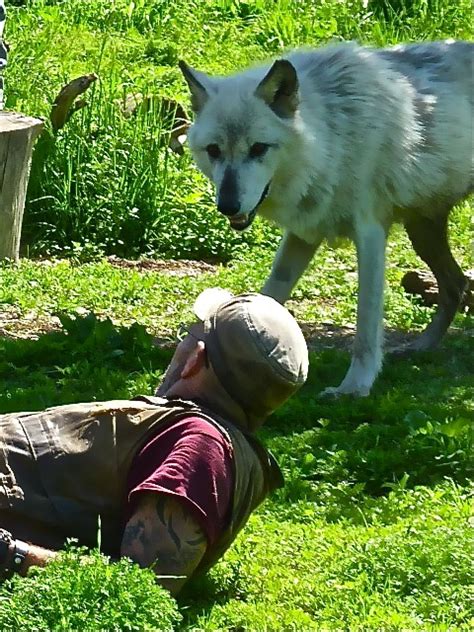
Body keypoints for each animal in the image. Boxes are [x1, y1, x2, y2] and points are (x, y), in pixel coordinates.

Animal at [180, 39, 472, 396]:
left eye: (259, 148)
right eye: (214, 150)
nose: (228, 205)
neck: (333, 137)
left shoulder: (370, 234)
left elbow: (366, 324)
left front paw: (354, 387)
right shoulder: (303, 234)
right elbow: (270, 293)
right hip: (423, 235)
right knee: (456, 285)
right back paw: (420, 347)